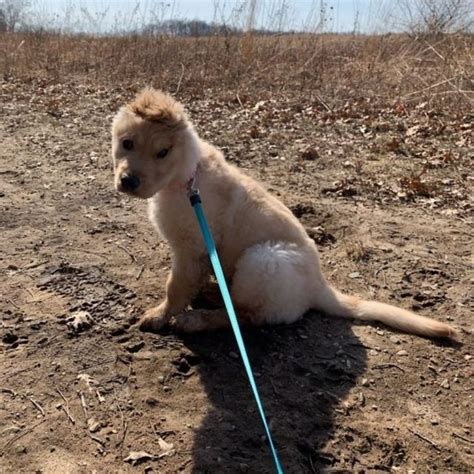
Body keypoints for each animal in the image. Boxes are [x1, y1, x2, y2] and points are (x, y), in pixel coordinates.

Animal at [111, 87, 456, 338]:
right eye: (127, 143)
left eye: (162, 152)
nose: (128, 181)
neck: (185, 176)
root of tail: (320, 288)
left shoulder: (189, 248)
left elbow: (176, 288)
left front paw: (160, 316)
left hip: (262, 260)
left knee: (246, 315)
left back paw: (198, 320)